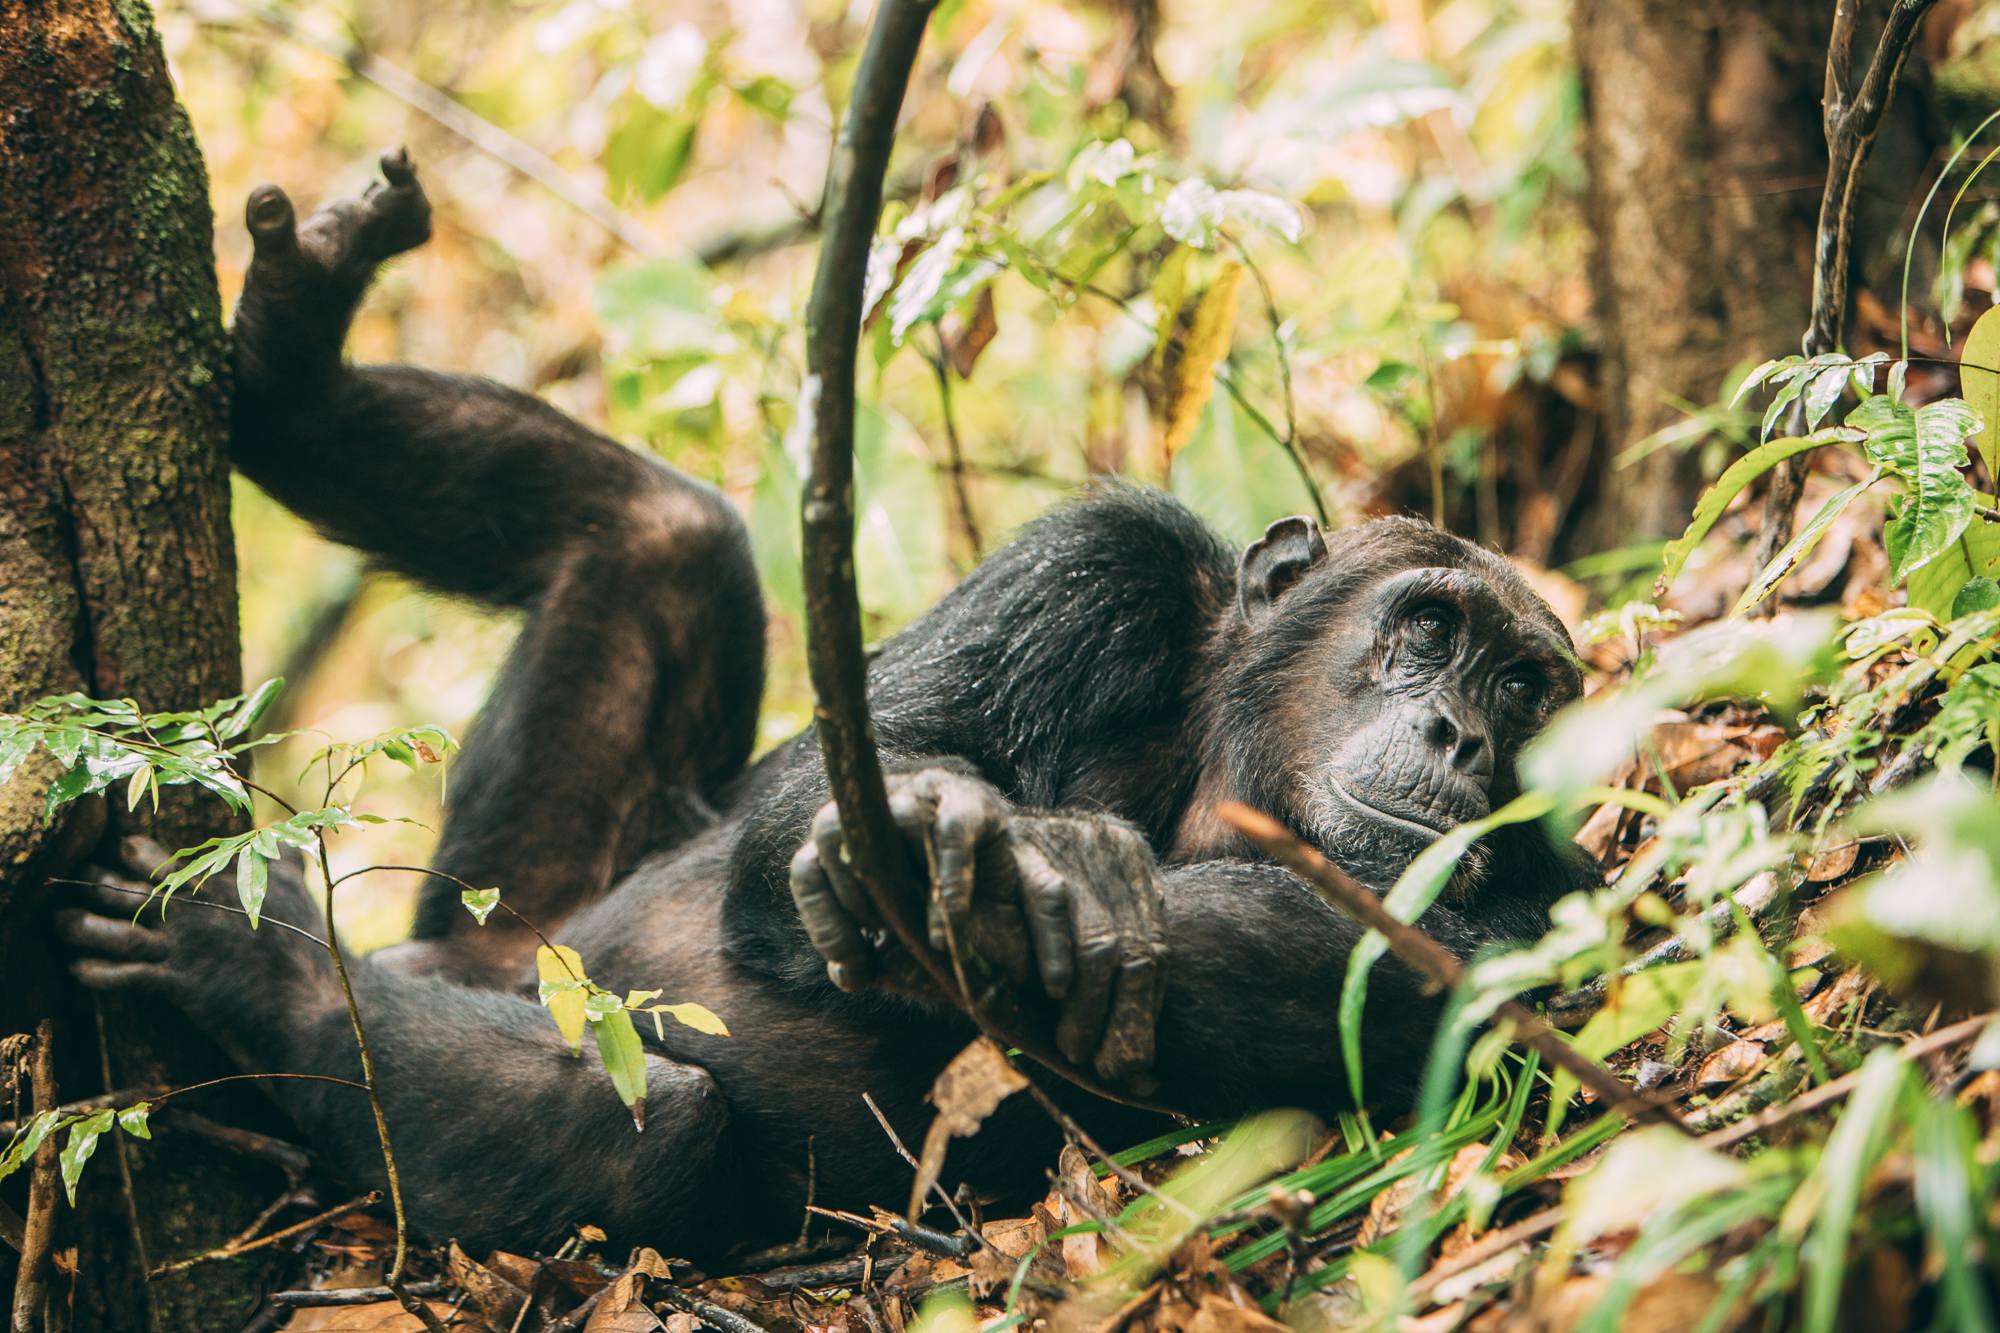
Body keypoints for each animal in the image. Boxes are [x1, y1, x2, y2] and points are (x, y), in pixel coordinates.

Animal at [50, 156, 1592, 1256]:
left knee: (641, 1122)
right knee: (665, 531)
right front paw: (947, 830)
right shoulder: (1101, 572)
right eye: (1429, 629)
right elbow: (836, 783)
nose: (1461, 730)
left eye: (1524, 689)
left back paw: (269, 969)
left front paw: (1046, 880)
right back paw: (295, 349)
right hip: (521, 898)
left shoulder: (1542, 923)